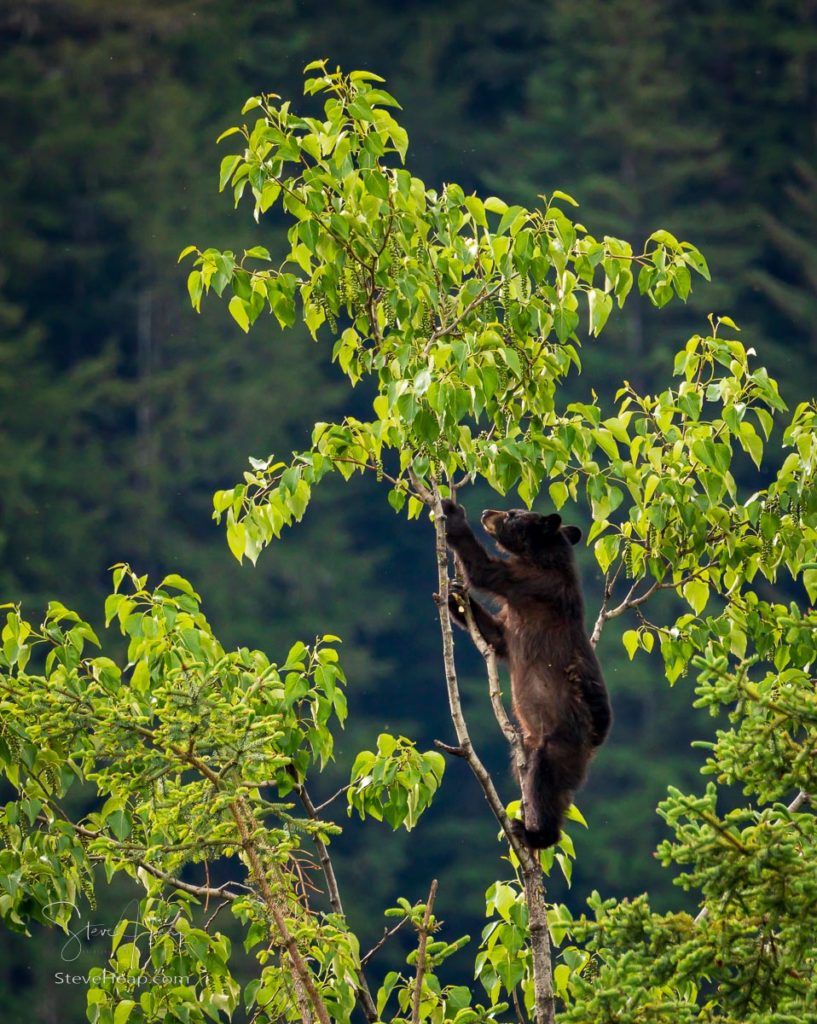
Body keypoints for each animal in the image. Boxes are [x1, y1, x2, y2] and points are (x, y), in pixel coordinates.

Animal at [442, 501, 606, 847]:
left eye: (514, 514)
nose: (488, 512)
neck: (543, 558)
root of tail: (594, 742)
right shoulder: (512, 620)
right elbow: (496, 635)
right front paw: (454, 596)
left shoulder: (529, 583)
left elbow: (486, 570)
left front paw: (452, 513)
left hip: (558, 743)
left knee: (545, 782)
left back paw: (534, 834)